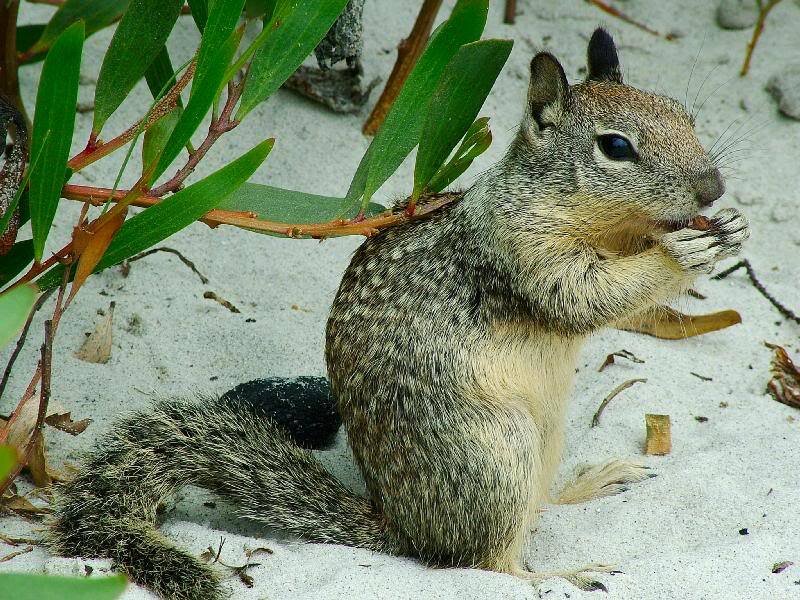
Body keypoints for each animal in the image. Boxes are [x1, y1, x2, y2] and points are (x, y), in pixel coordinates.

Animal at [45, 29, 749, 600]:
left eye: (684, 114)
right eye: (615, 146)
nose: (712, 188)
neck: (593, 222)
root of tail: (399, 527)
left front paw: (728, 229)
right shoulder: (520, 250)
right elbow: (586, 296)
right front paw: (688, 252)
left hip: (540, 441)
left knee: (539, 505)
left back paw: (596, 477)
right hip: (498, 454)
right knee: (485, 562)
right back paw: (563, 575)